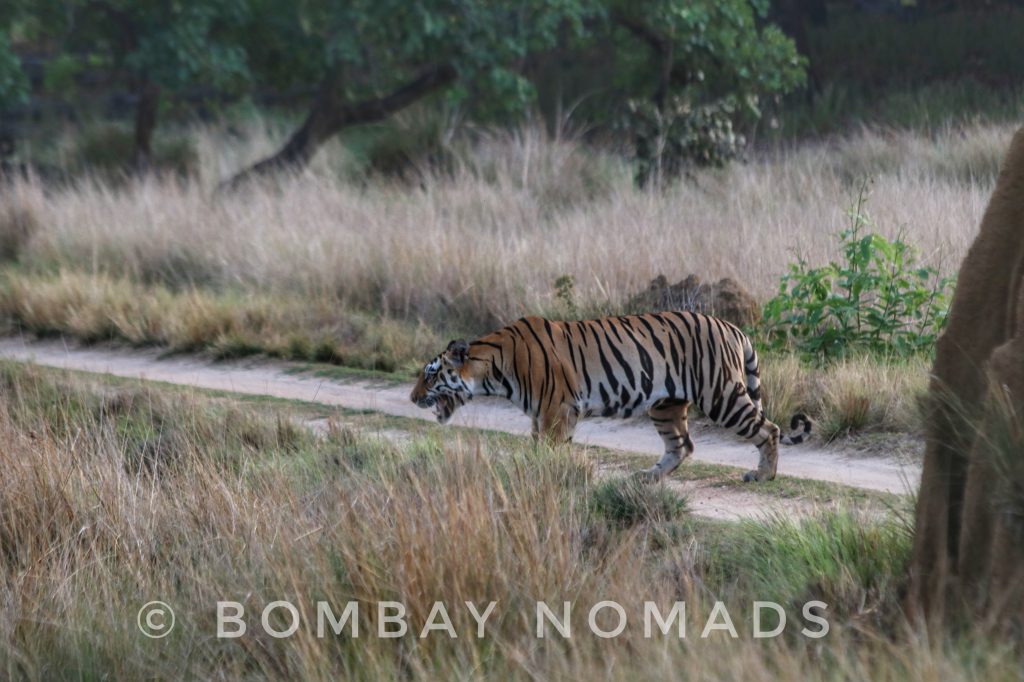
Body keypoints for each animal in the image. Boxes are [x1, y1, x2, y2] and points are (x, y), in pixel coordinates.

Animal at [407, 311, 806, 481]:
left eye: (430, 374)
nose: (412, 397)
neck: (492, 368)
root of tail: (732, 326)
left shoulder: (556, 409)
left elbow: (551, 447)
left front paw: (547, 473)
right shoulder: (541, 413)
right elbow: (537, 445)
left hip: (721, 395)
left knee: (768, 429)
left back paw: (764, 475)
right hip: (665, 405)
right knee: (682, 445)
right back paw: (647, 477)